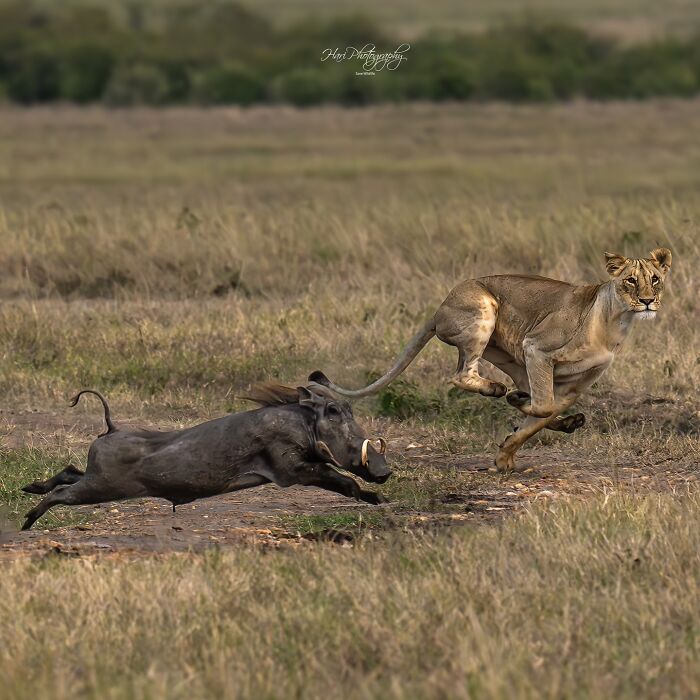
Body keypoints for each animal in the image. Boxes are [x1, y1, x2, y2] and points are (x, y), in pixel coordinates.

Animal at [310, 248, 672, 471]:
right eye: (630, 280)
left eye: (655, 279)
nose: (647, 301)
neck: (616, 321)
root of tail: (439, 309)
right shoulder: (537, 347)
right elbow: (543, 407)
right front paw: (516, 411)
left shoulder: (573, 385)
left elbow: (541, 415)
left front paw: (506, 455)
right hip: (486, 312)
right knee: (461, 375)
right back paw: (500, 391)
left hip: (513, 356)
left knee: (527, 395)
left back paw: (554, 417)